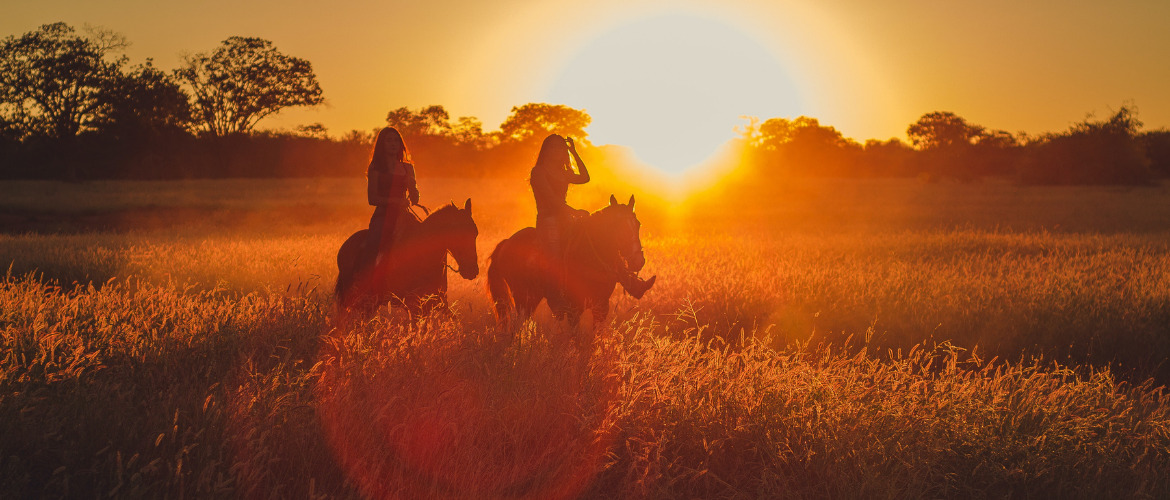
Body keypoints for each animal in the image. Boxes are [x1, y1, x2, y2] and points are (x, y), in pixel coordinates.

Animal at [334, 199, 479, 316]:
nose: (472, 270)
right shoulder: (414, 306)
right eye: (457, 233)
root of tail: (344, 247)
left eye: (475, 233)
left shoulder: (437, 303)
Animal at [484, 194, 650, 334]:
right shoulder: (574, 309)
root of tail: (506, 243)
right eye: (618, 226)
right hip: (523, 298)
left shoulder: (601, 306)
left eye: (638, 224)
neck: (589, 256)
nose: (638, 261)